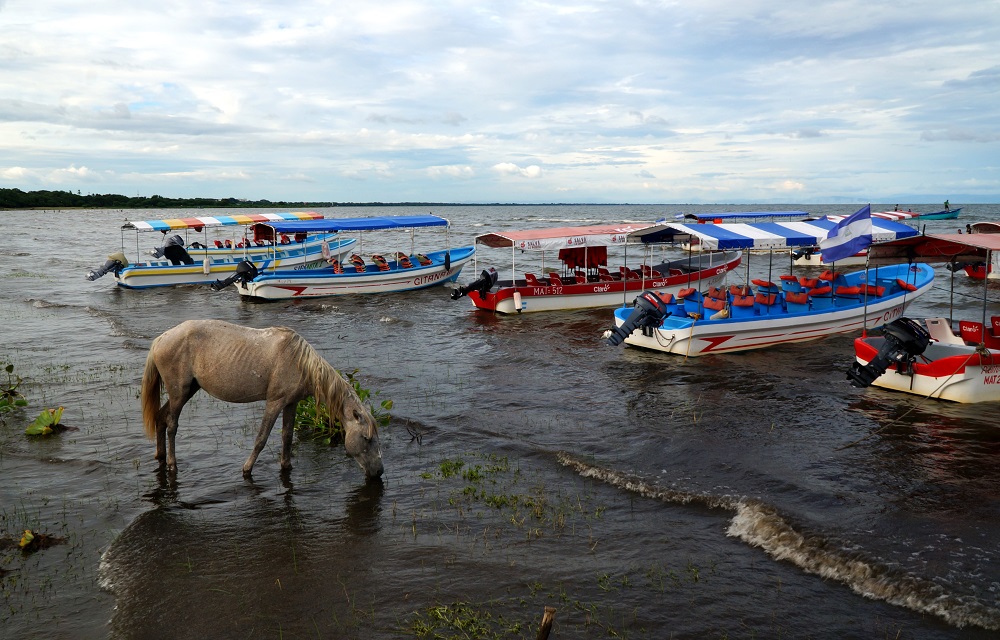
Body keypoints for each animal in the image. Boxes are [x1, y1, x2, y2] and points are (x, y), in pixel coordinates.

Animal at [143, 320, 384, 480]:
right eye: (366, 438)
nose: (379, 471)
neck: (300, 363)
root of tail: (161, 339)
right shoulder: (275, 402)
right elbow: (261, 438)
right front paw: (247, 469)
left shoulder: (291, 403)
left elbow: (287, 436)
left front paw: (286, 466)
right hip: (179, 392)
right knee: (172, 424)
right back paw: (172, 464)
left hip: (188, 391)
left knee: (161, 418)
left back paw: (161, 456)